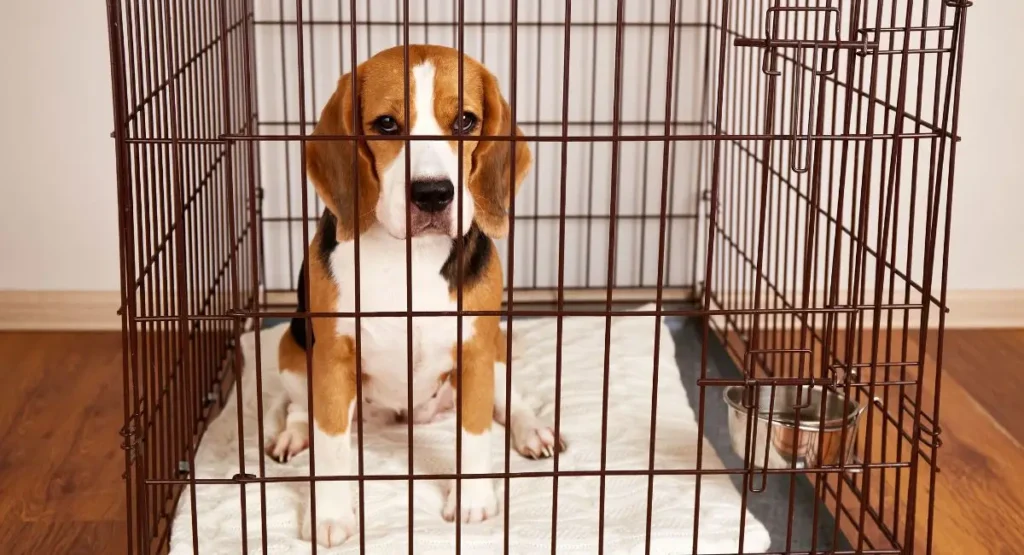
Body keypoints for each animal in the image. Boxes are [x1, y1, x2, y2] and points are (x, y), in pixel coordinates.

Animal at [264, 44, 569, 548]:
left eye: (465, 121)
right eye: (387, 124)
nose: (432, 194)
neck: (408, 258)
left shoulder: (475, 350)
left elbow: (475, 433)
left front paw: (472, 503)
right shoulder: (331, 357)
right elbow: (330, 445)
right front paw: (330, 514)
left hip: (496, 350)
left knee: (512, 401)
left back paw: (533, 431)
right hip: (291, 349)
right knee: (296, 407)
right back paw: (292, 433)